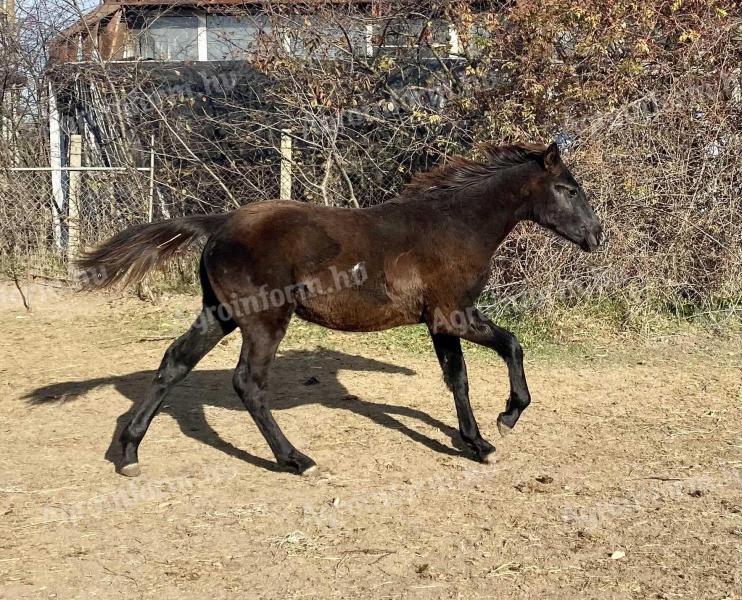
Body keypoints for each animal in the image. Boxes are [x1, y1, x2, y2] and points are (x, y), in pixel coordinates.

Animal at [77, 142, 604, 478]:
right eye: (568, 189)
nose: (596, 236)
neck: (455, 226)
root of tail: (221, 222)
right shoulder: (453, 314)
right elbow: (508, 347)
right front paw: (504, 421)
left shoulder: (439, 322)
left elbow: (458, 378)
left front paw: (477, 441)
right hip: (264, 321)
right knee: (248, 383)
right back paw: (296, 460)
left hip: (219, 315)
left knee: (174, 364)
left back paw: (128, 454)